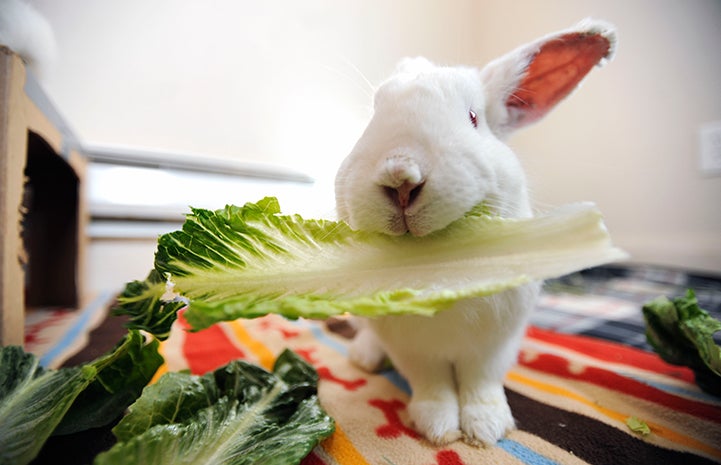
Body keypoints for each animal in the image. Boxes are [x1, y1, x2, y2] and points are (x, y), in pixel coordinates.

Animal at [334, 18, 617, 446]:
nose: (400, 177)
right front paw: (438, 428)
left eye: (472, 118)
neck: (444, 271)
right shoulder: (413, 349)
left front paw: (486, 429)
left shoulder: (495, 344)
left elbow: (481, 382)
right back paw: (364, 357)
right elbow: (432, 385)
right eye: (373, 117)